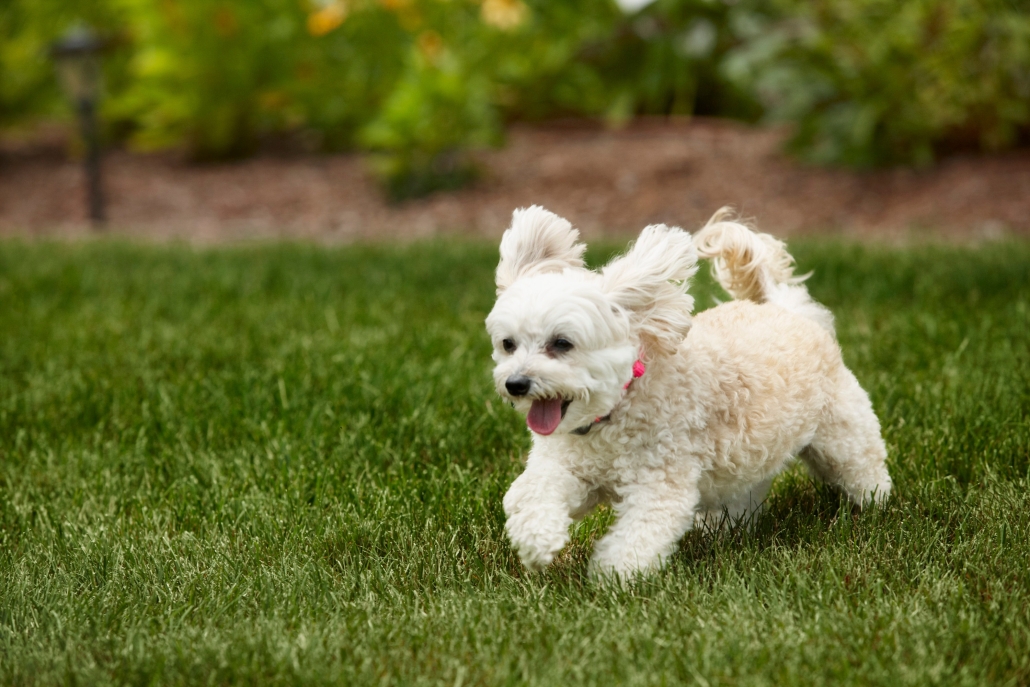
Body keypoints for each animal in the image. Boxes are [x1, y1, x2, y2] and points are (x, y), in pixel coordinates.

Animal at [486, 207, 889, 576]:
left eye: (562, 343)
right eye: (508, 344)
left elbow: (639, 534)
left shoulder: (660, 482)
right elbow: (531, 492)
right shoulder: (570, 468)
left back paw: (875, 507)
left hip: (842, 437)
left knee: (864, 470)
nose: (516, 383)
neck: (615, 411)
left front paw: (613, 578)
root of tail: (790, 310)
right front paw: (537, 540)